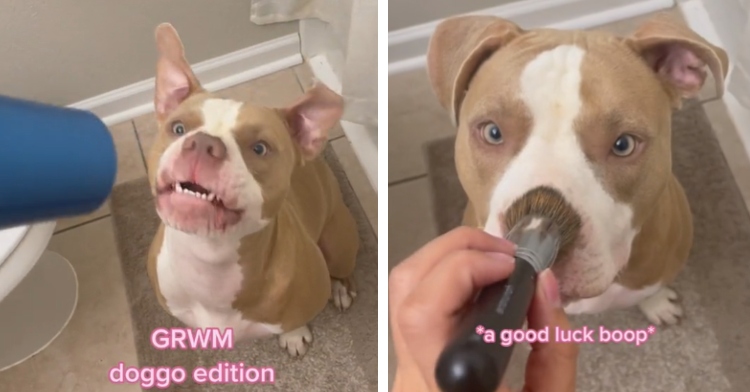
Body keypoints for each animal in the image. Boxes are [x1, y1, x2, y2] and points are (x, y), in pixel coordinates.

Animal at [146, 23, 362, 356]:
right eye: (178, 128)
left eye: (259, 148)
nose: (203, 144)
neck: (211, 261)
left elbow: (293, 320)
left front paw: (293, 335)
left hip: (339, 242)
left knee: (343, 266)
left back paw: (340, 289)